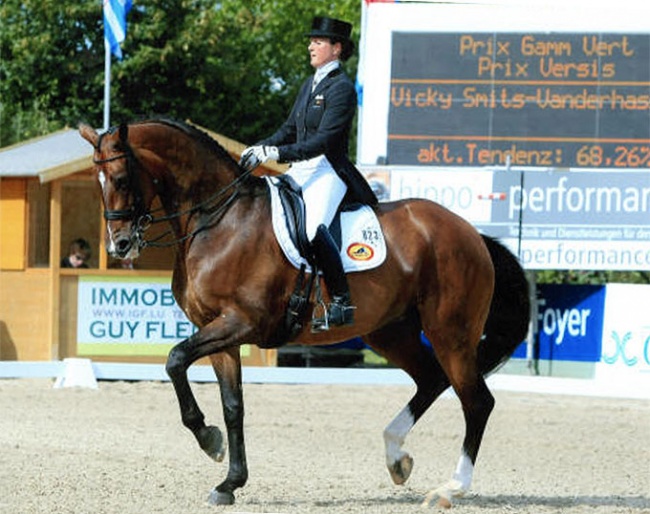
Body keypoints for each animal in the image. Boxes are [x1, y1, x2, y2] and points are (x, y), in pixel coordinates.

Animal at [78, 118, 528, 506]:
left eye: (121, 179)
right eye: (97, 183)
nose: (120, 245)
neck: (219, 220)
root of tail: (471, 233)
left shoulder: (240, 323)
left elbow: (174, 360)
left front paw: (210, 441)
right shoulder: (217, 330)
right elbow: (233, 405)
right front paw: (229, 481)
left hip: (451, 332)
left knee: (476, 401)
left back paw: (450, 489)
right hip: (391, 332)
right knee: (432, 379)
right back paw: (396, 458)